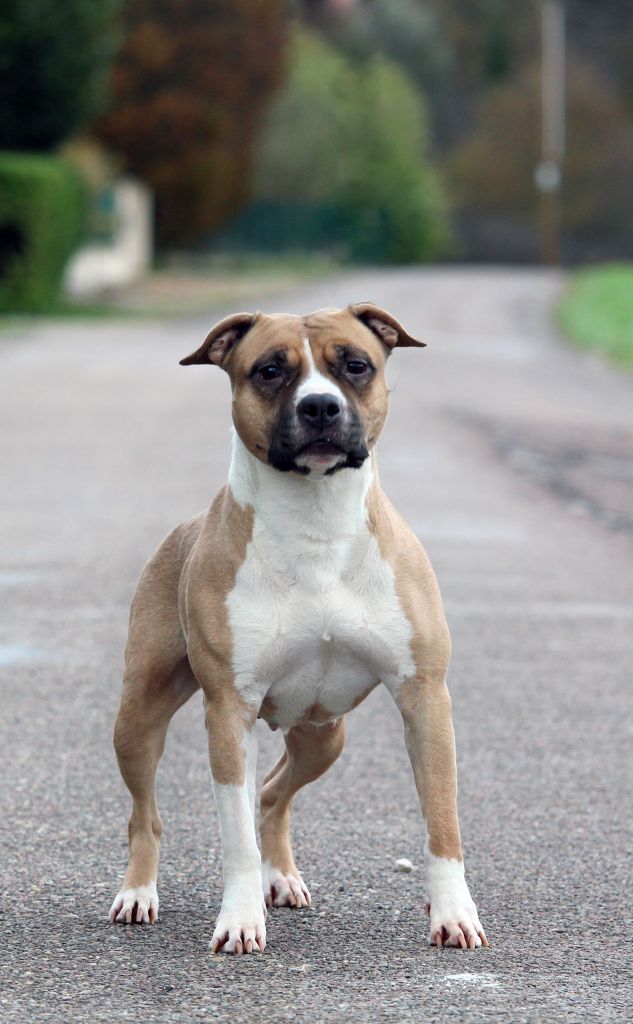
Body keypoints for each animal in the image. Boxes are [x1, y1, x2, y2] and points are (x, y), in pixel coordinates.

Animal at [108, 301, 485, 950]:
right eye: (268, 371)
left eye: (356, 365)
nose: (320, 407)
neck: (317, 526)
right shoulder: (229, 710)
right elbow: (234, 833)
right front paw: (239, 921)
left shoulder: (425, 697)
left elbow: (442, 818)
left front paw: (454, 914)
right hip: (139, 716)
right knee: (147, 813)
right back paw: (138, 893)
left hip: (322, 735)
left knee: (270, 794)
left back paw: (280, 878)